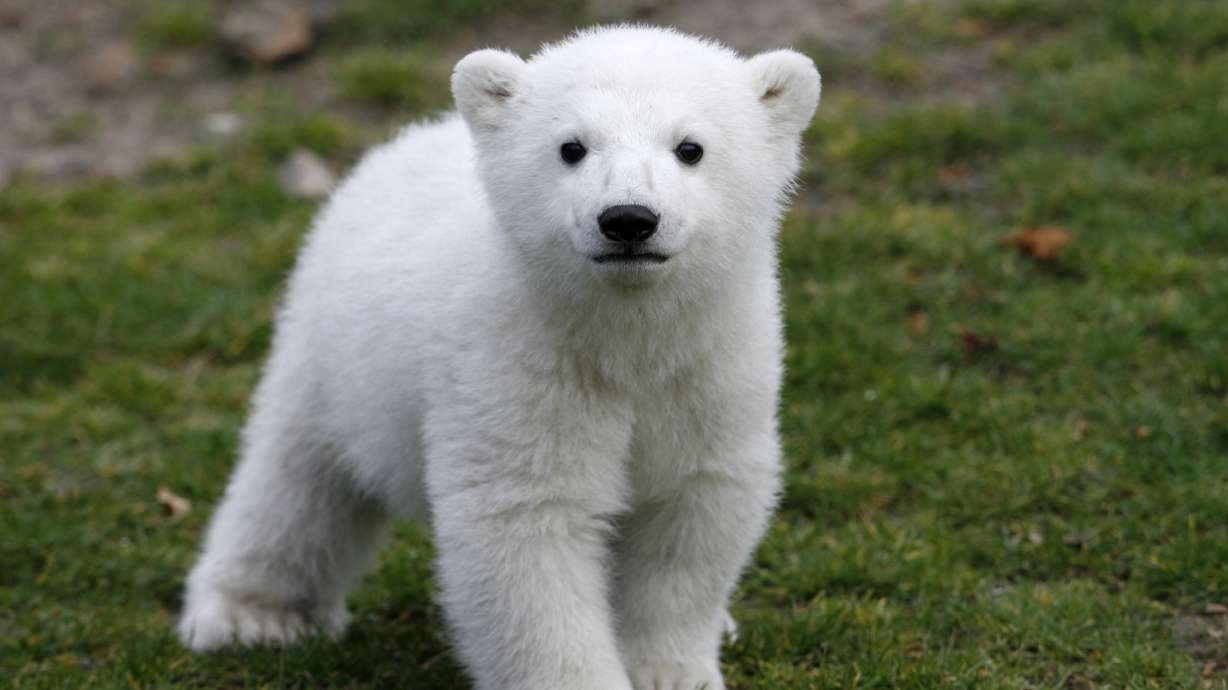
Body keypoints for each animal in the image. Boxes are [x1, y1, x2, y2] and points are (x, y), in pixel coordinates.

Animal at [178, 25, 820, 690]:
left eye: (690, 148)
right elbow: (529, 524)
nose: (628, 219)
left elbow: (691, 510)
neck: (624, 334)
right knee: (297, 484)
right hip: (332, 353)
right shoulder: (519, 363)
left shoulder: (709, 366)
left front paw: (671, 672)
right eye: (571, 147)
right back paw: (252, 616)